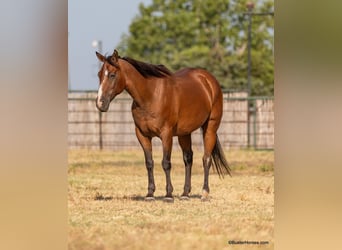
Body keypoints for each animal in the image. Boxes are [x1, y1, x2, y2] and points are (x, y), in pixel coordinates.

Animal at [95, 48, 231, 201]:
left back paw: (205, 193)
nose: (100, 103)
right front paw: (150, 194)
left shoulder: (166, 134)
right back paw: (185, 193)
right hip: (184, 133)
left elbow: (166, 163)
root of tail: (208, 80)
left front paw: (168, 194)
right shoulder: (142, 135)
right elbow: (149, 163)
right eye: (99, 74)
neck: (150, 95)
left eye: (112, 75)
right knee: (188, 158)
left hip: (210, 128)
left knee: (206, 159)